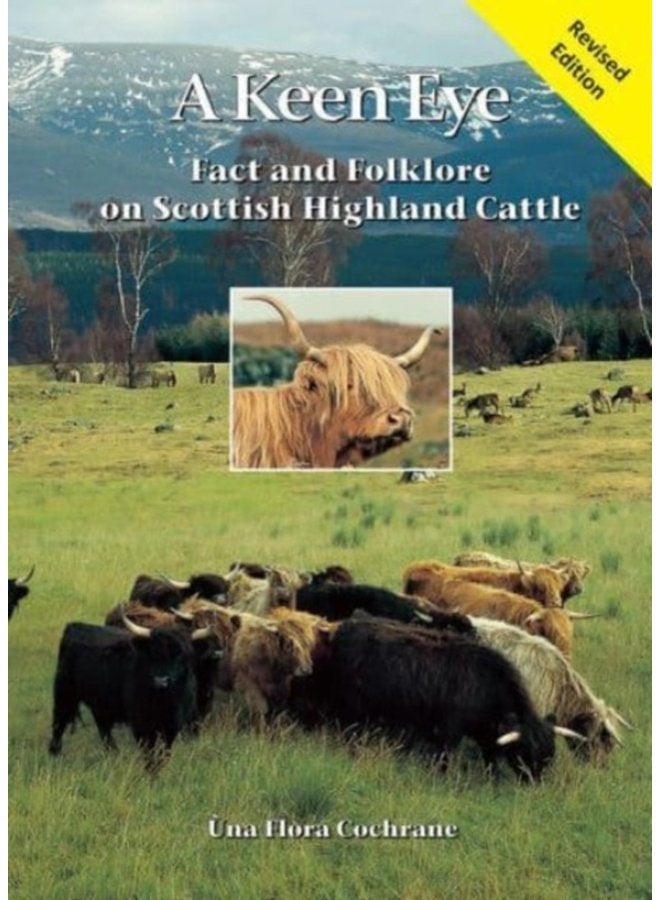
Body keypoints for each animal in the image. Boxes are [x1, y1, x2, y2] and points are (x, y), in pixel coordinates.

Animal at [48, 615, 212, 769]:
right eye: (152, 653)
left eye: (182, 654)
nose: (161, 681)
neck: (163, 701)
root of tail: (74, 626)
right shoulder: (141, 724)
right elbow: (149, 752)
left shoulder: (172, 725)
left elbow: (163, 753)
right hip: (64, 693)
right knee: (58, 724)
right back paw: (55, 755)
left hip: (100, 703)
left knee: (103, 728)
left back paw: (113, 754)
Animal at [288, 617, 582, 782]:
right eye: (524, 754)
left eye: (550, 754)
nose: (536, 784)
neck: (487, 684)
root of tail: (341, 630)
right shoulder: (448, 731)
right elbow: (444, 760)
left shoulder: (487, 735)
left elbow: (490, 760)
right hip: (351, 710)